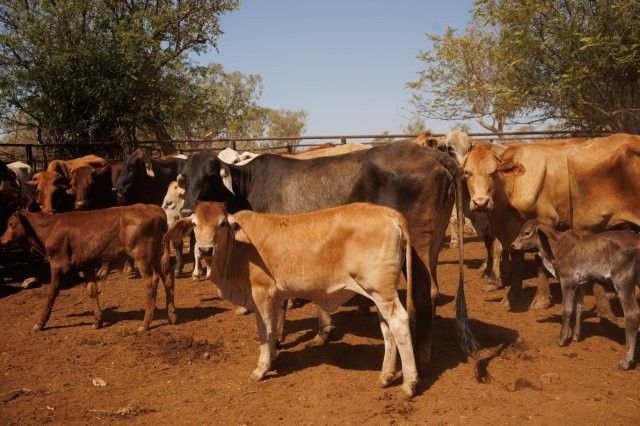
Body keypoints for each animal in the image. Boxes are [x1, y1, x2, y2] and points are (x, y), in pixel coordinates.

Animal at [0, 204, 176, 332]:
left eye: (11, 224)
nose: (1, 239)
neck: (50, 228)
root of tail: (154, 209)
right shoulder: (86, 264)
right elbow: (92, 289)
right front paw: (97, 321)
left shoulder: (57, 264)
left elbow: (52, 293)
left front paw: (40, 323)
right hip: (158, 255)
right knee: (167, 278)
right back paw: (172, 315)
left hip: (141, 256)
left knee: (152, 281)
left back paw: (144, 324)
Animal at [166, 201, 420, 396]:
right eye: (195, 224)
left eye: (221, 224)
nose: (205, 250)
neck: (238, 249)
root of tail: (388, 212)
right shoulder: (276, 297)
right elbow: (274, 328)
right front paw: (272, 358)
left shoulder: (262, 293)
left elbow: (265, 331)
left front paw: (261, 369)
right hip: (379, 294)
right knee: (387, 328)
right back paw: (386, 376)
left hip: (381, 291)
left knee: (399, 323)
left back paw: (409, 384)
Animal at [179, 142, 477, 374]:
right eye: (184, 177)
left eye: (210, 175)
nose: (185, 210)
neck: (249, 185)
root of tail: (430, 153)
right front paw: (323, 331)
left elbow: (282, 303)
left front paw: (278, 340)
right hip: (432, 246)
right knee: (432, 293)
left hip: (417, 247)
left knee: (422, 296)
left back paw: (418, 358)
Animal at [511, 220, 639, 370]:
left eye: (526, 233)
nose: (513, 244)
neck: (555, 246)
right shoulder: (582, 283)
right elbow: (578, 307)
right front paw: (576, 335)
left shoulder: (567, 280)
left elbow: (567, 309)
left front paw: (562, 339)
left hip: (624, 283)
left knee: (632, 314)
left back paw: (626, 361)